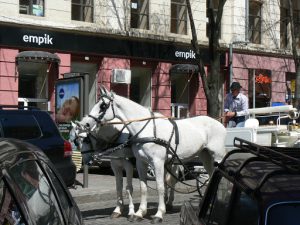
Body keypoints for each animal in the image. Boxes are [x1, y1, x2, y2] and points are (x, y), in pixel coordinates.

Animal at [79, 86, 227, 223]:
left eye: (103, 105)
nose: (85, 123)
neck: (145, 128)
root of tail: (219, 123)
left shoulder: (157, 162)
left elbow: (160, 186)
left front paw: (159, 214)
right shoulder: (140, 162)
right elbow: (142, 187)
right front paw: (139, 213)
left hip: (218, 156)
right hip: (204, 156)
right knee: (210, 175)